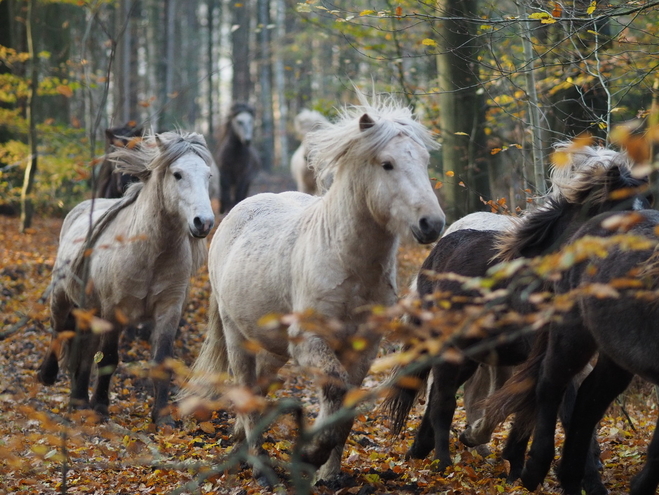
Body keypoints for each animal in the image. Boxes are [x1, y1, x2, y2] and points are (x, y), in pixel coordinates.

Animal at [38, 132, 215, 426]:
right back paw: (48, 376)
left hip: (89, 310)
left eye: (208, 175)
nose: (204, 222)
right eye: (177, 174)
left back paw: (78, 401)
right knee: (59, 329)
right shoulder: (115, 310)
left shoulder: (169, 310)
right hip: (63, 298)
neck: (151, 253)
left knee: (83, 350)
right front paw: (100, 407)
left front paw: (162, 417)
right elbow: (109, 357)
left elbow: (161, 361)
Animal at [183, 92, 446, 480]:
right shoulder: (310, 340)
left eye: (425, 161)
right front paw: (311, 452)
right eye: (387, 164)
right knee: (246, 386)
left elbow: (347, 402)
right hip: (236, 335)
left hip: (272, 346)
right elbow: (335, 387)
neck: (346, 263)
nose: (432, 224)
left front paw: (329, 473)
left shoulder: (364, 347)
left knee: (260, 385)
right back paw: (259, 465)